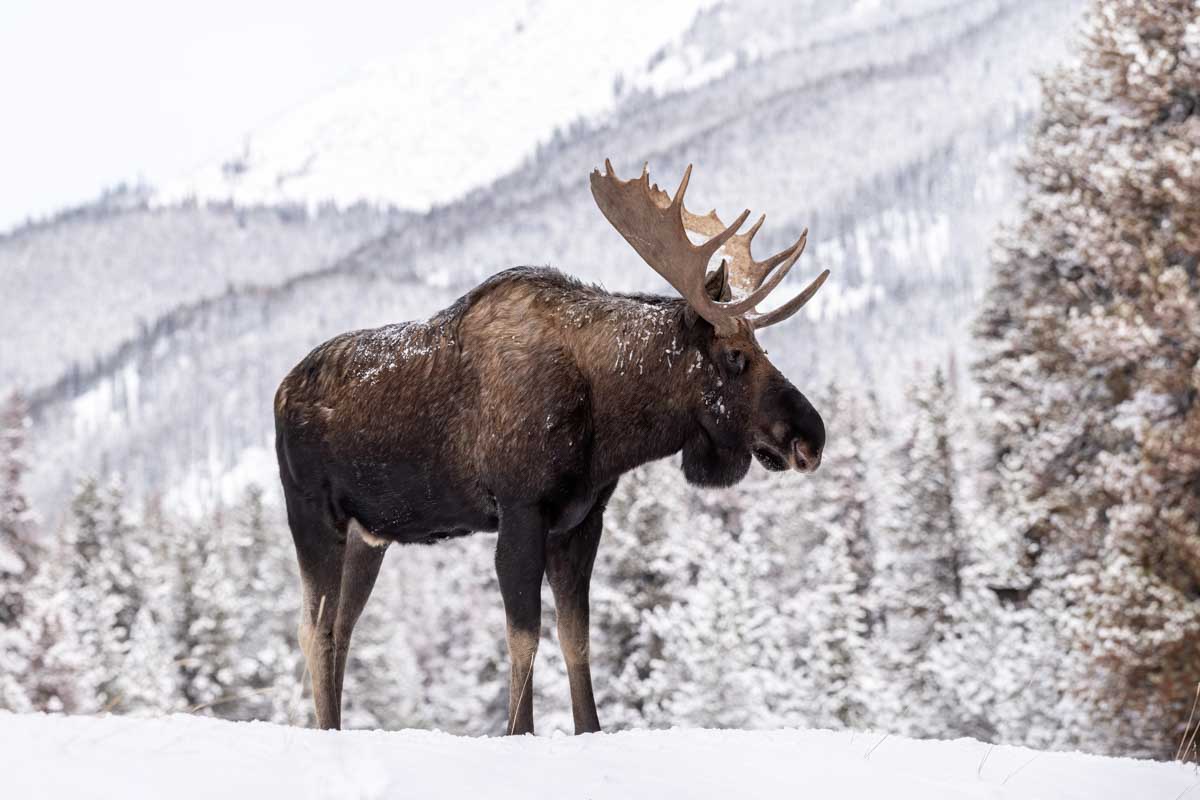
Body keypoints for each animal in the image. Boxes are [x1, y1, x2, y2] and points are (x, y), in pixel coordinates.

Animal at [274, 161, 829, 736]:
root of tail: (280, 392)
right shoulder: (521, 510)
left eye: (762, 347)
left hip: (370, 535)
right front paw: (519, 731)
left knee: (343, 628)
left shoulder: (581, 521)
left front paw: (588, 729)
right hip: (312, 515)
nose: (811, 436)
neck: (608, 421)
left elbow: (575, 638)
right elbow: (524, 639)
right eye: (736, 355)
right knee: (314, 630)